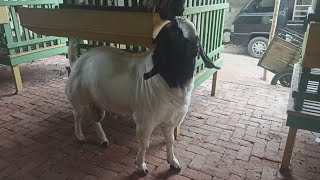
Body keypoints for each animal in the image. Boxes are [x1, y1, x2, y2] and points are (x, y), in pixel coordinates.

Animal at [65, 16, 220, 176]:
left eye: (196, 35)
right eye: (176, 35)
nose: (195, 48)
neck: (169, 79)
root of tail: (76, 61)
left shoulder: (169, 121)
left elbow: (170, 141)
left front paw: (173, 162)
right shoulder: (145, 121)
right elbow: (145, 144)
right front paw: (141, 166)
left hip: (96, 101)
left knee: (95, 120)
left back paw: (103, 139)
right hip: (78, 99)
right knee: (77, 116)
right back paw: (80, 136)